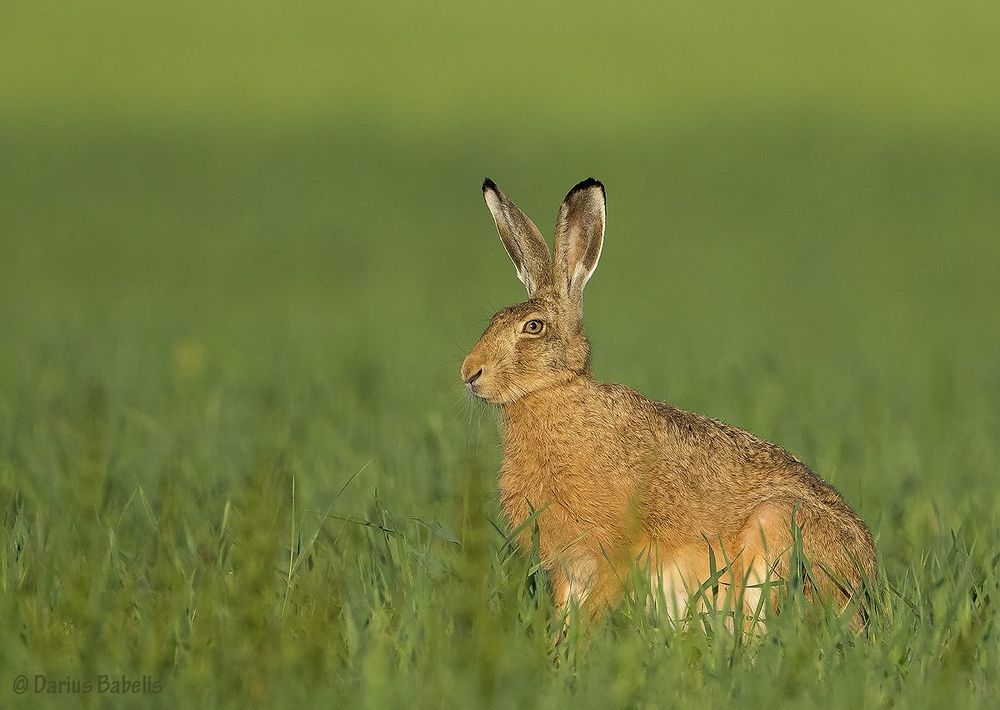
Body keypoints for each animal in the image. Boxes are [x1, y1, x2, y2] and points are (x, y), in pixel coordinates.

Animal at [460, 177, 877, 629]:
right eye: (493, 321)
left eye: (533, 327)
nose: (469, 372)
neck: (553, 394)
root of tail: (867, 590)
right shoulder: (570, 571)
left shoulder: (615, 554)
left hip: (776, 528)